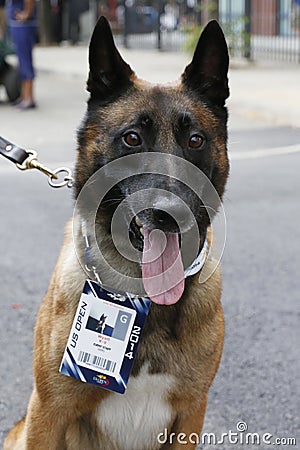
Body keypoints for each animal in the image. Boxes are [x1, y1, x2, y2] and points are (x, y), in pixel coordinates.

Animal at [4, 15, 230, 448]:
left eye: (195, 140)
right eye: (132, 138)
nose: (172, 214)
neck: (143, 299)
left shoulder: (191, 415)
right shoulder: (48, 412)